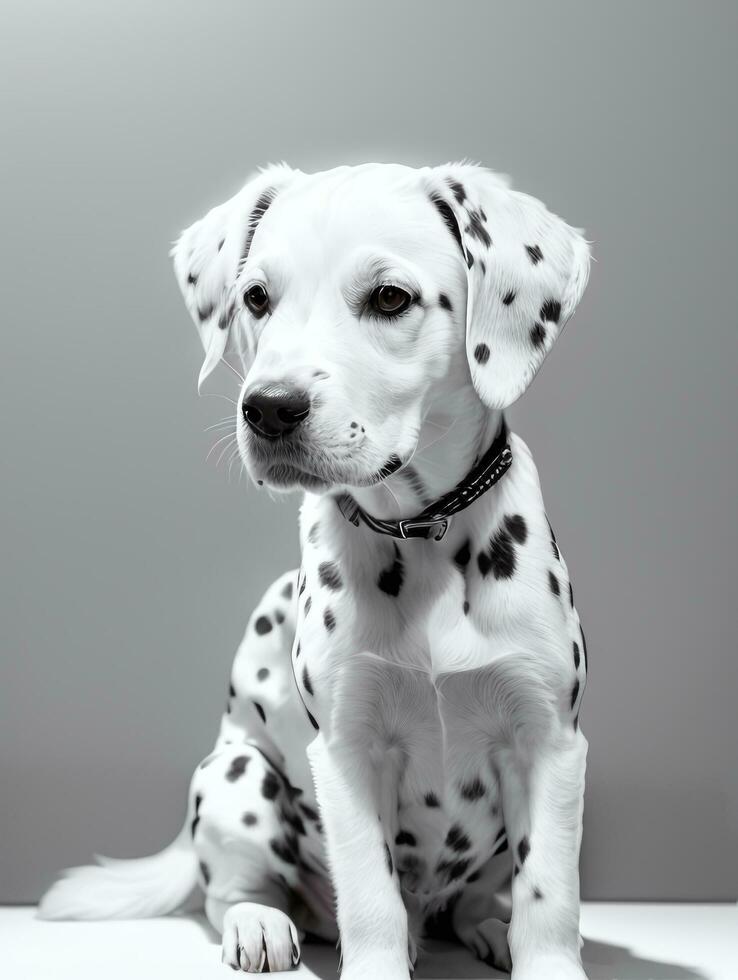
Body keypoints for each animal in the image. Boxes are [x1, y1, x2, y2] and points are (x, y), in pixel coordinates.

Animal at [41, 165, 592, 976]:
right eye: (255, 298)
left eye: (390, 298)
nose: (269, 408)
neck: (421, 531)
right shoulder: (346, 752)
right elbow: (369, 898)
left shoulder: (548, 743)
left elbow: (548, 896)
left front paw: (541, 954)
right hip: (235, 776)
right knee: (233, 893)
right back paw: (260, 925)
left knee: (469, 901)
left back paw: (486, 925)